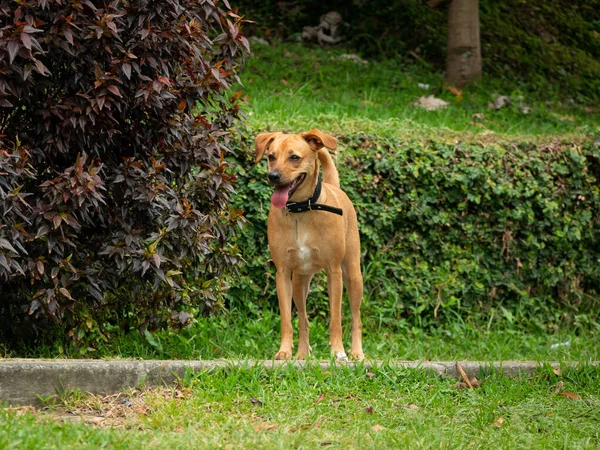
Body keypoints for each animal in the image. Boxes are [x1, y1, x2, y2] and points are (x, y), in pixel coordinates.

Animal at [254, 128, 364, 360]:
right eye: (271, 156)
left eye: (294, 157)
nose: (273, 176)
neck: (301, 210)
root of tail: (334, 187)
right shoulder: (283, 273)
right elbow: (287, 320)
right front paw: (284, 351)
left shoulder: (334, 272)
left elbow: (335, 318)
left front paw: (338, 351)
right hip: (299, 282)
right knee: (303, 319)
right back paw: (303, 353)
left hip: (353, 275)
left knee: (356, 318)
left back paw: (357, 352)